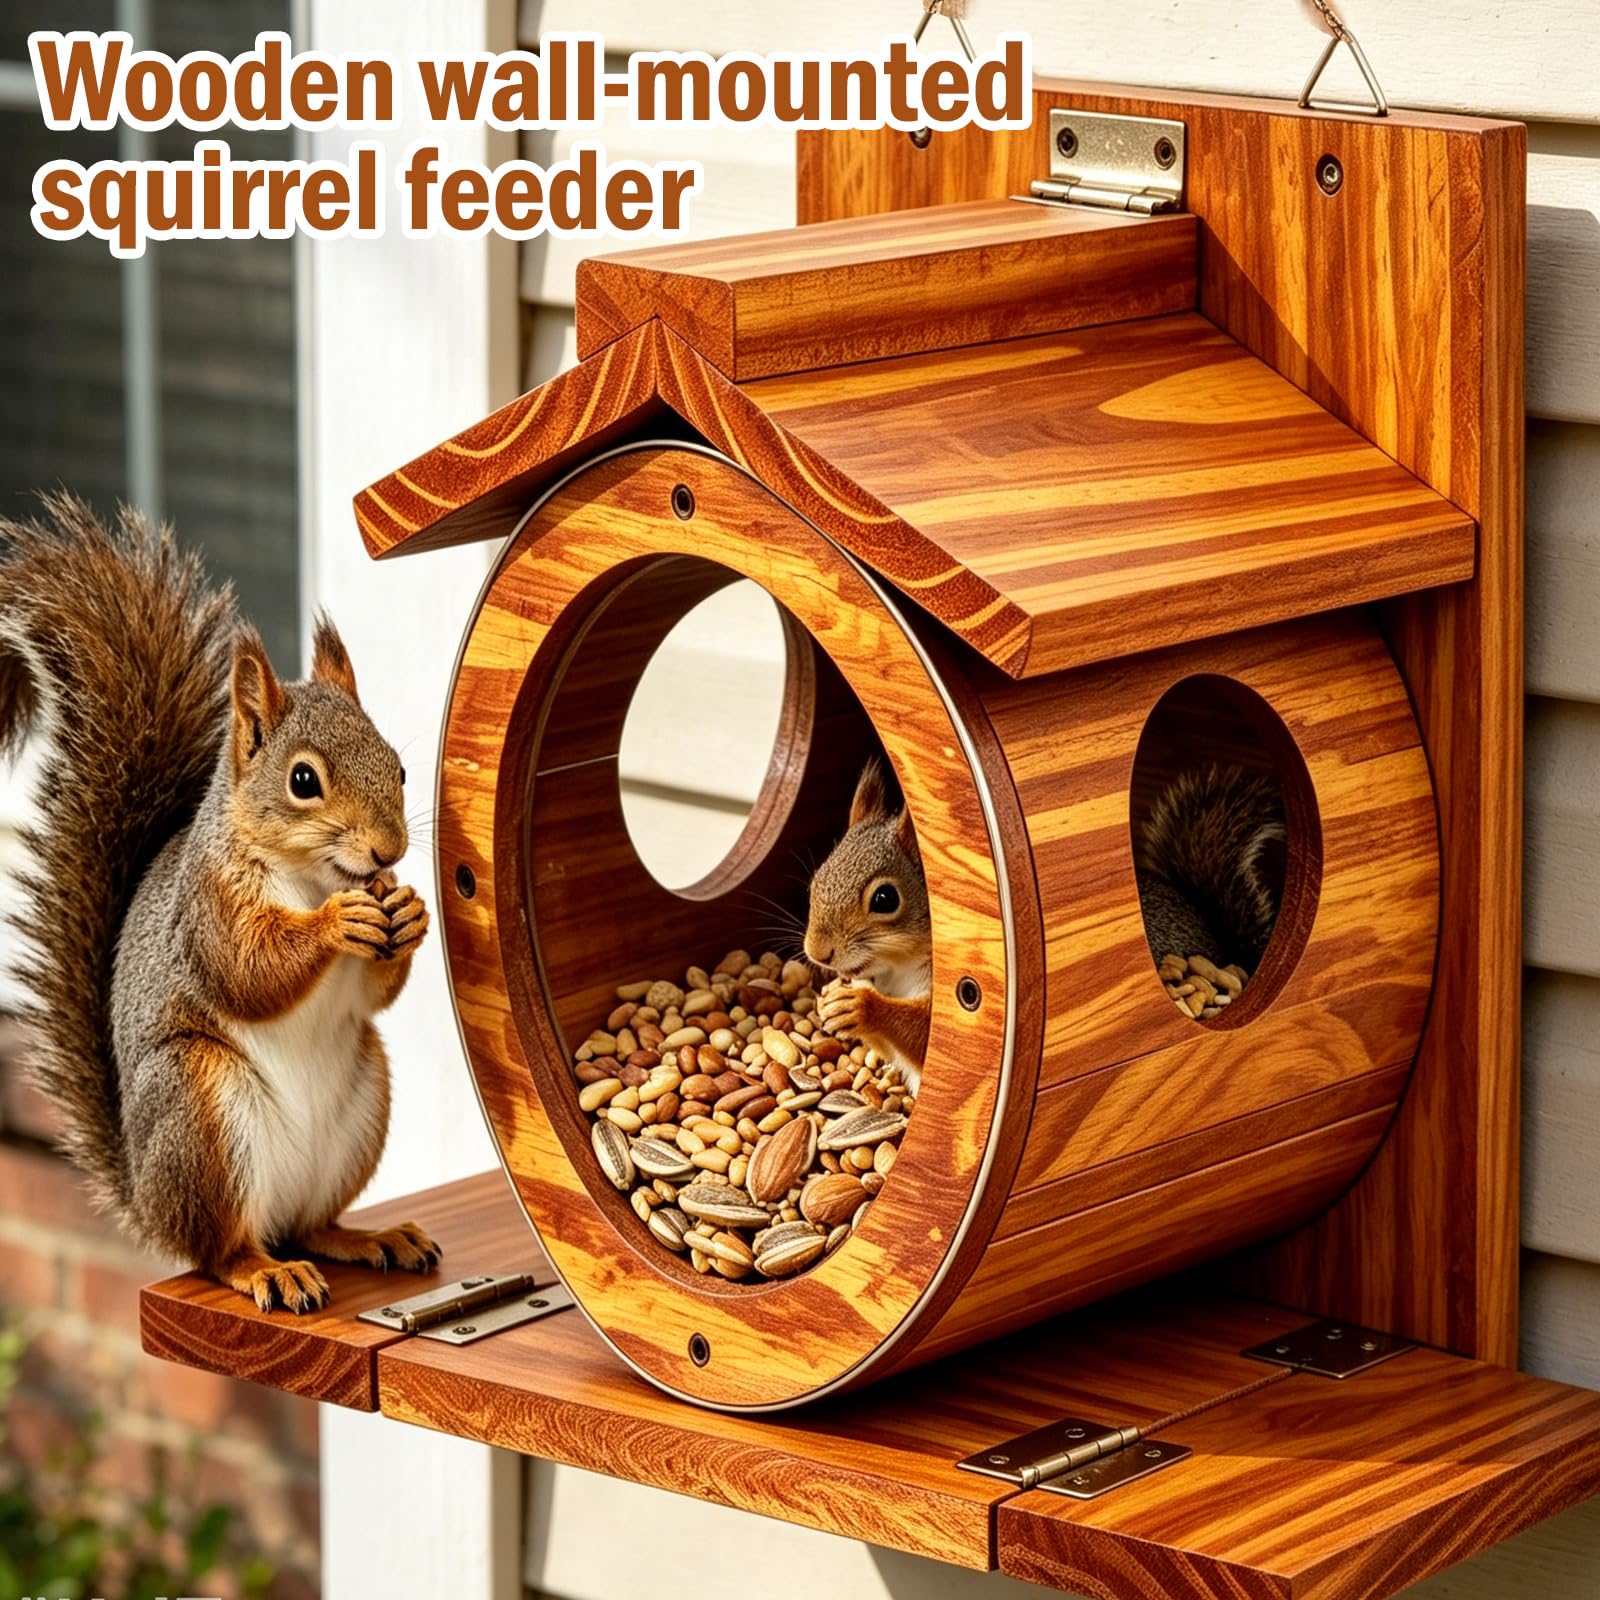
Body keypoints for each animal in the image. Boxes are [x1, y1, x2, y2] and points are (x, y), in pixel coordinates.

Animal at [0, 495, 438, 1313]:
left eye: (397, 766)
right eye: (303, 781)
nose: (389, 852)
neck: (310, 876)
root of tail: (147, 1203)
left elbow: (374, 991)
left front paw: (410, 912)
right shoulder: (208, 907)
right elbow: (247, 970)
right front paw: (335, 925)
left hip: (360, 1104)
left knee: (312, 1226)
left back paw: (369, 1238)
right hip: (199, 1107)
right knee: (220, 1251)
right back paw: (266, 1270)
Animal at [805, 761, 931, 1095]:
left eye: (885, 899)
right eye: (815, 882)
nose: (818, 953)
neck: (900, 971)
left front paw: (861, 1007)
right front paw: (828, 998)